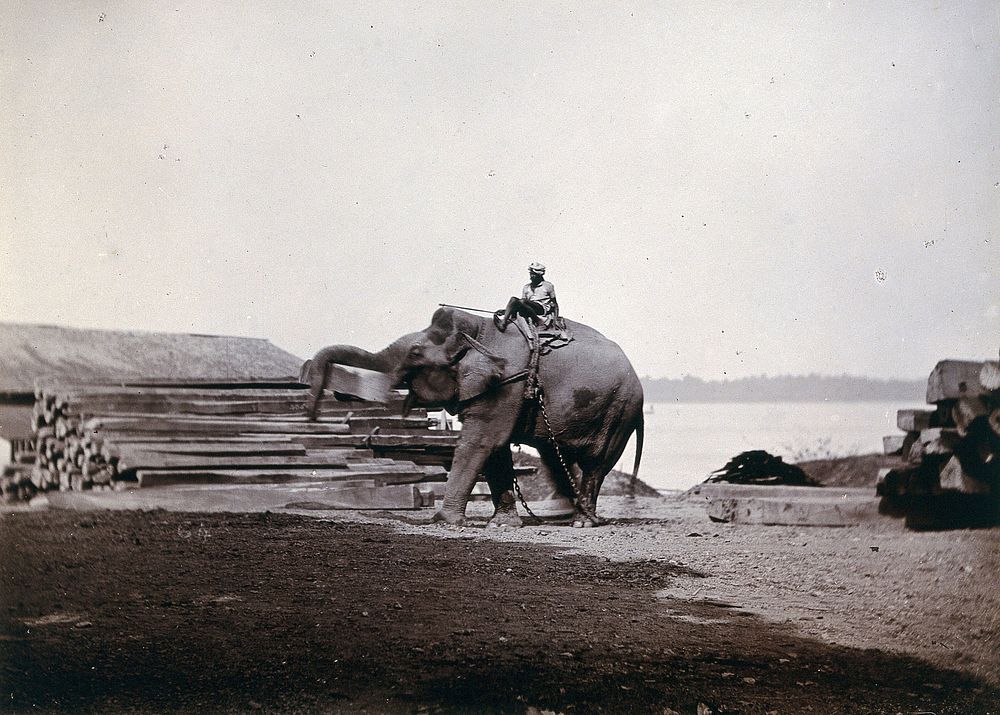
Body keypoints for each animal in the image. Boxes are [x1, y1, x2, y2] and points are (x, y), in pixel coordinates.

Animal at [304, 304, 644, 528]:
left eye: (415, 354)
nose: (312, 411)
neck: (477, 329)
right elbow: (496, 449)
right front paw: (502, 525)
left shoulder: (508, 383)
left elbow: (481, 441)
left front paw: (443, 521)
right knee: (555, 454)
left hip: (618, 411)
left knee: (596, 463)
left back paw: (582, 522)